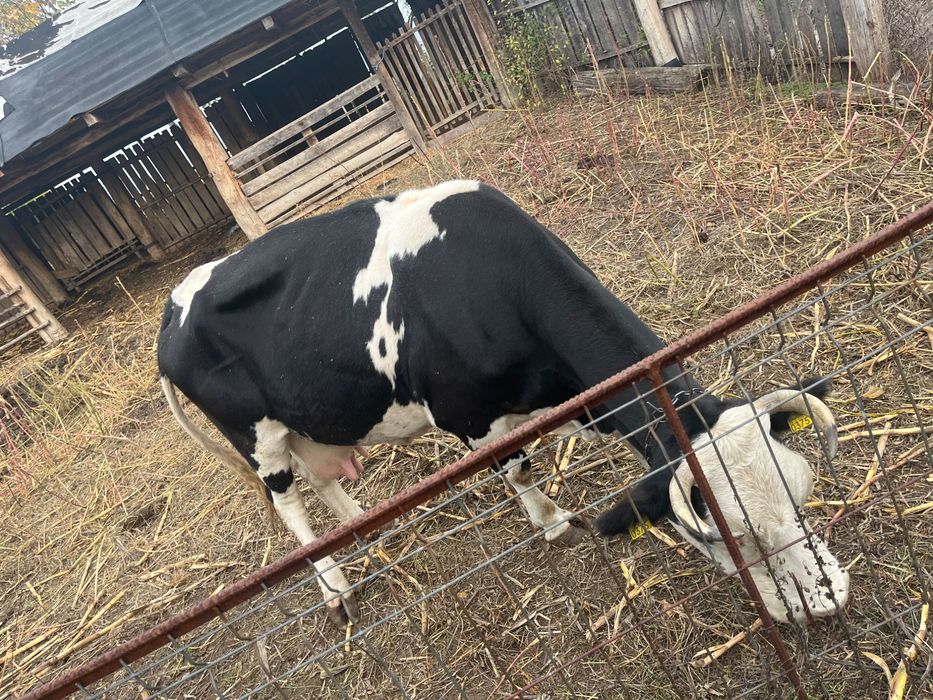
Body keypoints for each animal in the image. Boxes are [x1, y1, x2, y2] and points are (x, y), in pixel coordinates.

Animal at [158, 179, 849, 626]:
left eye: (800, 496)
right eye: (731, 538)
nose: (828, 599)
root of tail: (175, 301)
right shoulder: (470, 416)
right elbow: (516, 470)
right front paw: (551, 521)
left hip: (311, 417)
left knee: (326, 480)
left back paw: (366, 532)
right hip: (255, 436)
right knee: (290, 506)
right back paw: (336, 587)